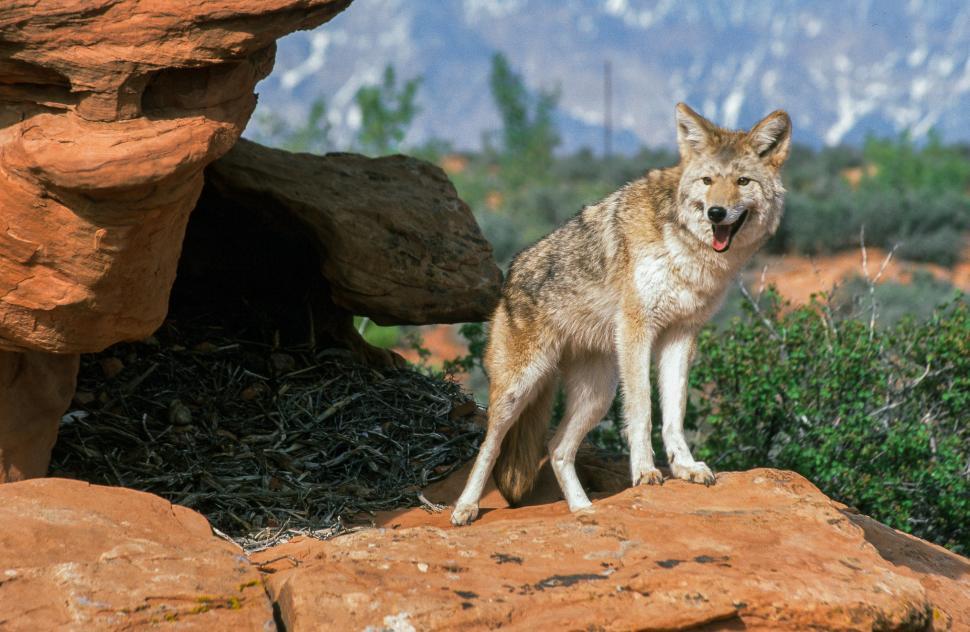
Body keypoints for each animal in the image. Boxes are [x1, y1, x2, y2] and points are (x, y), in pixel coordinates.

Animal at [451, 103, 791, 525]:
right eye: (708, 180)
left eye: (743, 181)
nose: (717, 212)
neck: (686, 249)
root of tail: (509, 276)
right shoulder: (637, 328)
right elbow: (643, 409)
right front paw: (645, 472)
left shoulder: (682, 334)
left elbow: (674, 411)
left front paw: (685, 467)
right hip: (521, 387)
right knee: (489, 446)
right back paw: (465, 508)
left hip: (597, 394)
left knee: (558, 448)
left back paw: (584, 511)